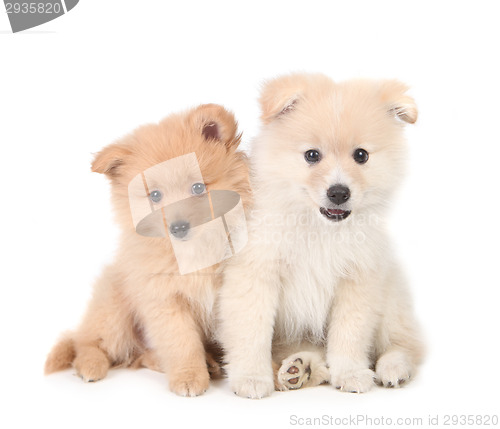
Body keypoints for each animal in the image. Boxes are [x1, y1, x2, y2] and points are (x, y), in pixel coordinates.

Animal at [45, 103, 250, 394]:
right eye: (155, 195)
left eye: (198, 187)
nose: (178, 227)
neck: (194, 253)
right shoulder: (164, 299)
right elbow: (182, 343)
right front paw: (189, 377)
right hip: (114, 311)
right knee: (87, 342)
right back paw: (90, 365)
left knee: (140, 354)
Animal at [217, 72, 424, 398]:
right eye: (312, 155)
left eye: (361, 155)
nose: (338, 193)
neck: (318, 229)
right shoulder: (255, 274)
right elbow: (252, 332)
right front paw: (251, 377)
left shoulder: (358, 279)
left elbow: (349, 334)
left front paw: (351, 373)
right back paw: (299, 369)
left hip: (391, 296)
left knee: (404, 344)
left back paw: (393, 368)